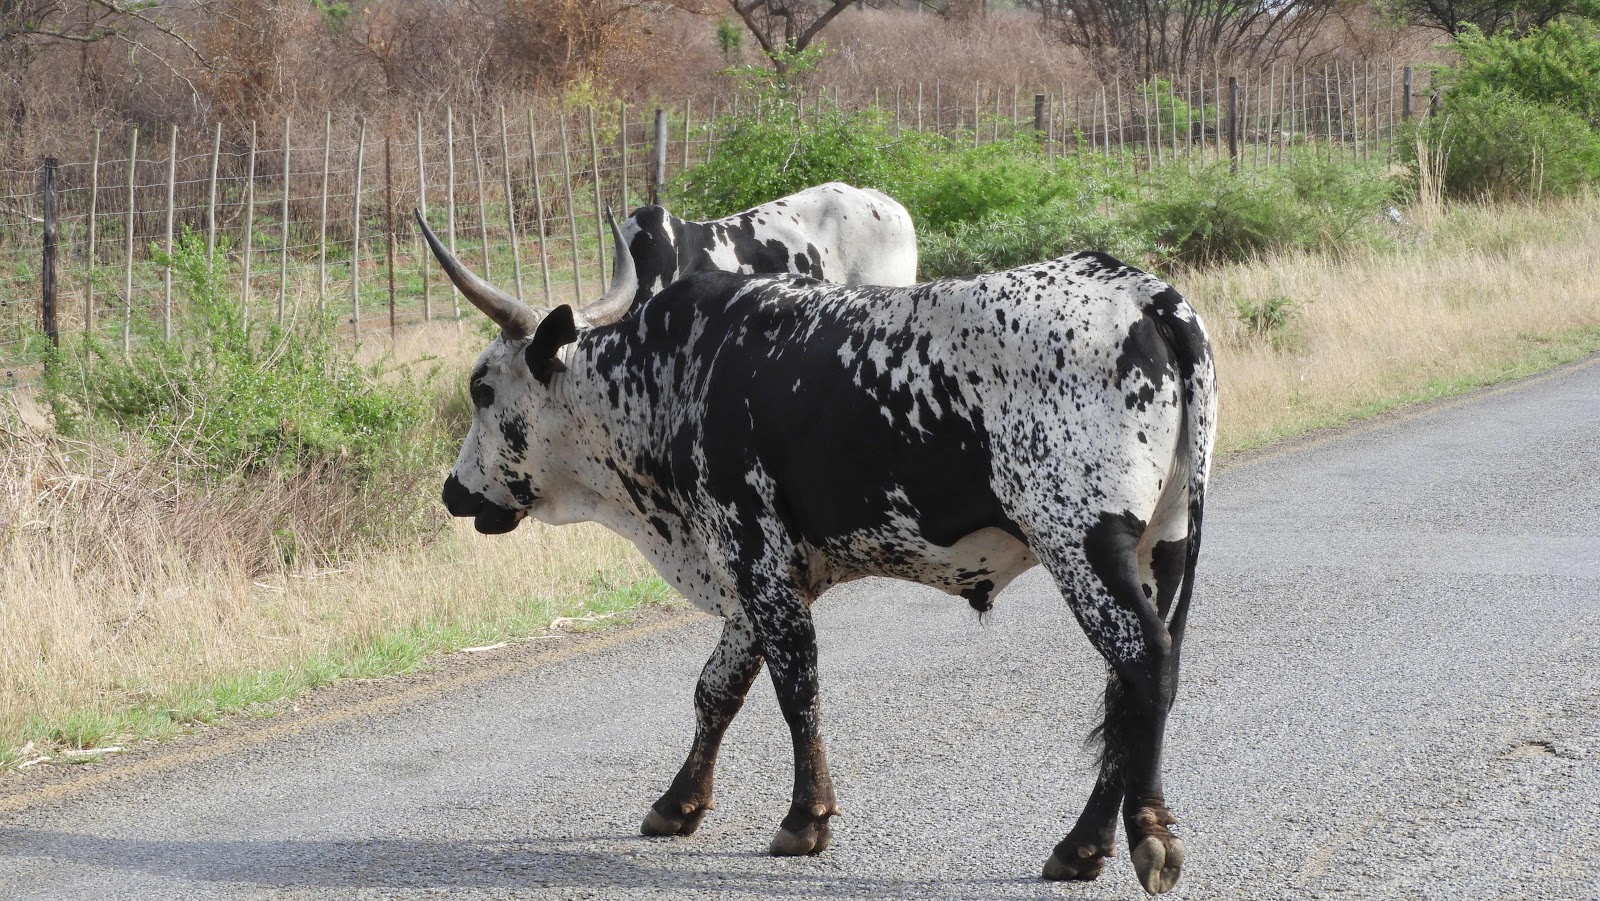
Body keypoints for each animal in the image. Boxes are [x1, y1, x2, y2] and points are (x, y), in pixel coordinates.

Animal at [419, 209, 1216, 896]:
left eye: (482, 388)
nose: (454, 492)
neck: (672, 370)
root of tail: (1144, 292)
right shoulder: (755, 576)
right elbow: (717, 689)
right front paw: (678, 805)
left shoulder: (755, 554)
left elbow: (794, 685)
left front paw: (805, 819)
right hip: (1160, 544)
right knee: (1131, 686)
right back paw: (1084, 845)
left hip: (1081, 541)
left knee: (1144, 664)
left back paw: (1139, 838)